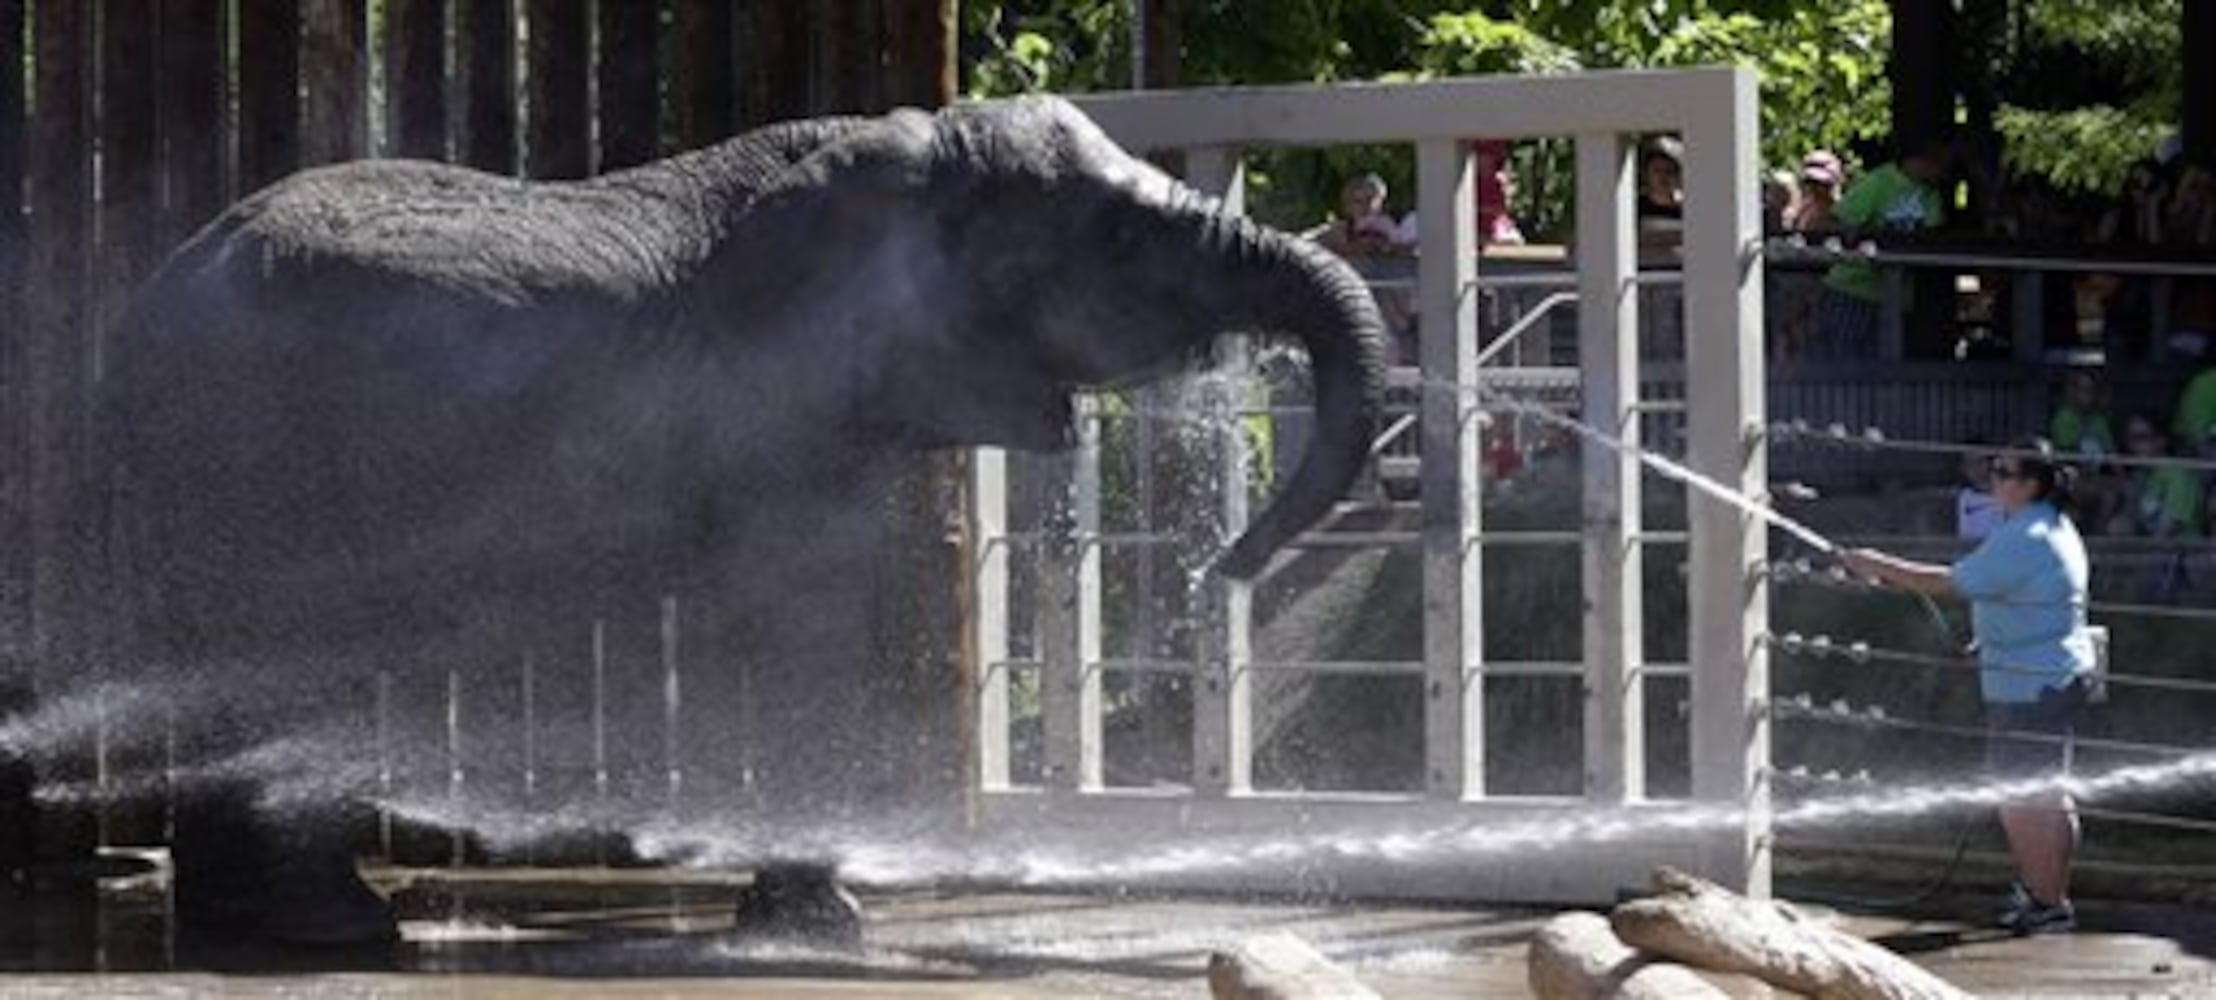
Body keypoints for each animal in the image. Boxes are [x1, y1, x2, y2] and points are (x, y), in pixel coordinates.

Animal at [64, 98, 1382, 953]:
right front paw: (823, 929)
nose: (1223, 569)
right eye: (1115, 239)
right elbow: (804, 618)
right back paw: (339, 933)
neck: (907, 151)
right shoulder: (781, 393)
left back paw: (264, 926)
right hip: (257, 461)